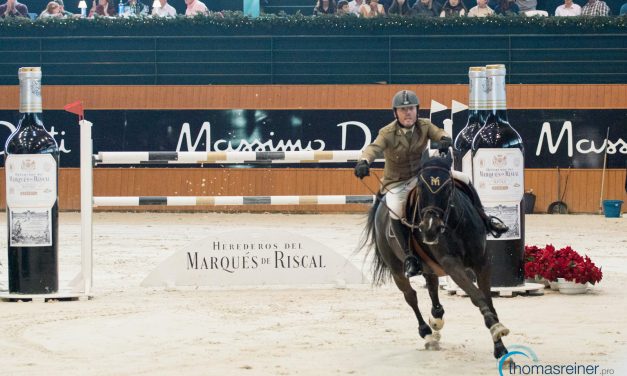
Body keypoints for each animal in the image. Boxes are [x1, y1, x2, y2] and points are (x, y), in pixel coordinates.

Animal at [360, 151, 512, 360]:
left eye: (447, 187)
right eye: (421, 187)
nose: (430, 229)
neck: (455, 225)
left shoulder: (482, 263)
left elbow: (488, 300)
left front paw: (500, 347)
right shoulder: (452, 266)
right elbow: (477, 297)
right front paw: (496, 331)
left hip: (429, 266)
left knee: (432, 288)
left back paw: (436, 318)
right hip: (397, 269)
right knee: (411, 296)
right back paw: (427, 332)